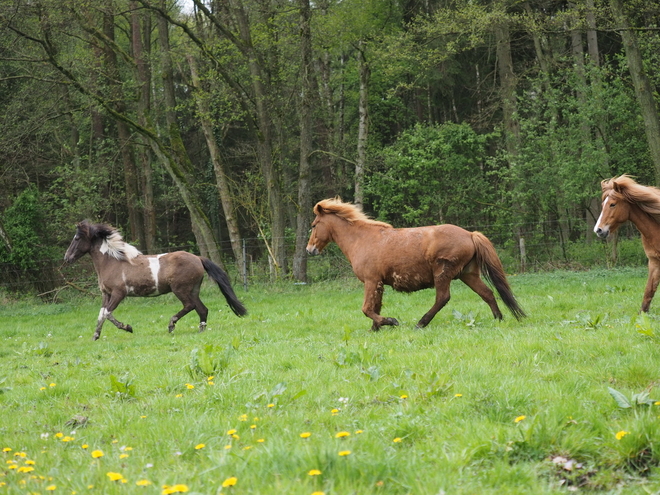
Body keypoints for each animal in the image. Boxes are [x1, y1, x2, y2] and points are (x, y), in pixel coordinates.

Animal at [65, 221, 248, 340]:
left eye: (76, 238)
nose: (67, 258)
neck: (112, 262)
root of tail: (198, 258)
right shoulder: (106, 294)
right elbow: (101, 314)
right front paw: (95, 336)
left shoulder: (119, 293)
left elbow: (108, 314)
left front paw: (128, 328)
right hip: (194, 289)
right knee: (202, 309)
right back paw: (200, 330)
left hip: (180, 289)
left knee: (190, 306)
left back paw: (171, 325)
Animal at [306, 199, 524, 334]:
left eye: (314, 225)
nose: (309, 250)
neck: (362, 239)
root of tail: (470, 234)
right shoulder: (378, 284)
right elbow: (374, 307)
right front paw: (376, 328)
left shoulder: (371, 281)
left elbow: (367, 308)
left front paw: (390, 322)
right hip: (468, 275)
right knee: (487, 294)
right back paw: (498, 319)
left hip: (443, 274)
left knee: (442, 298)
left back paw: (421, 323)